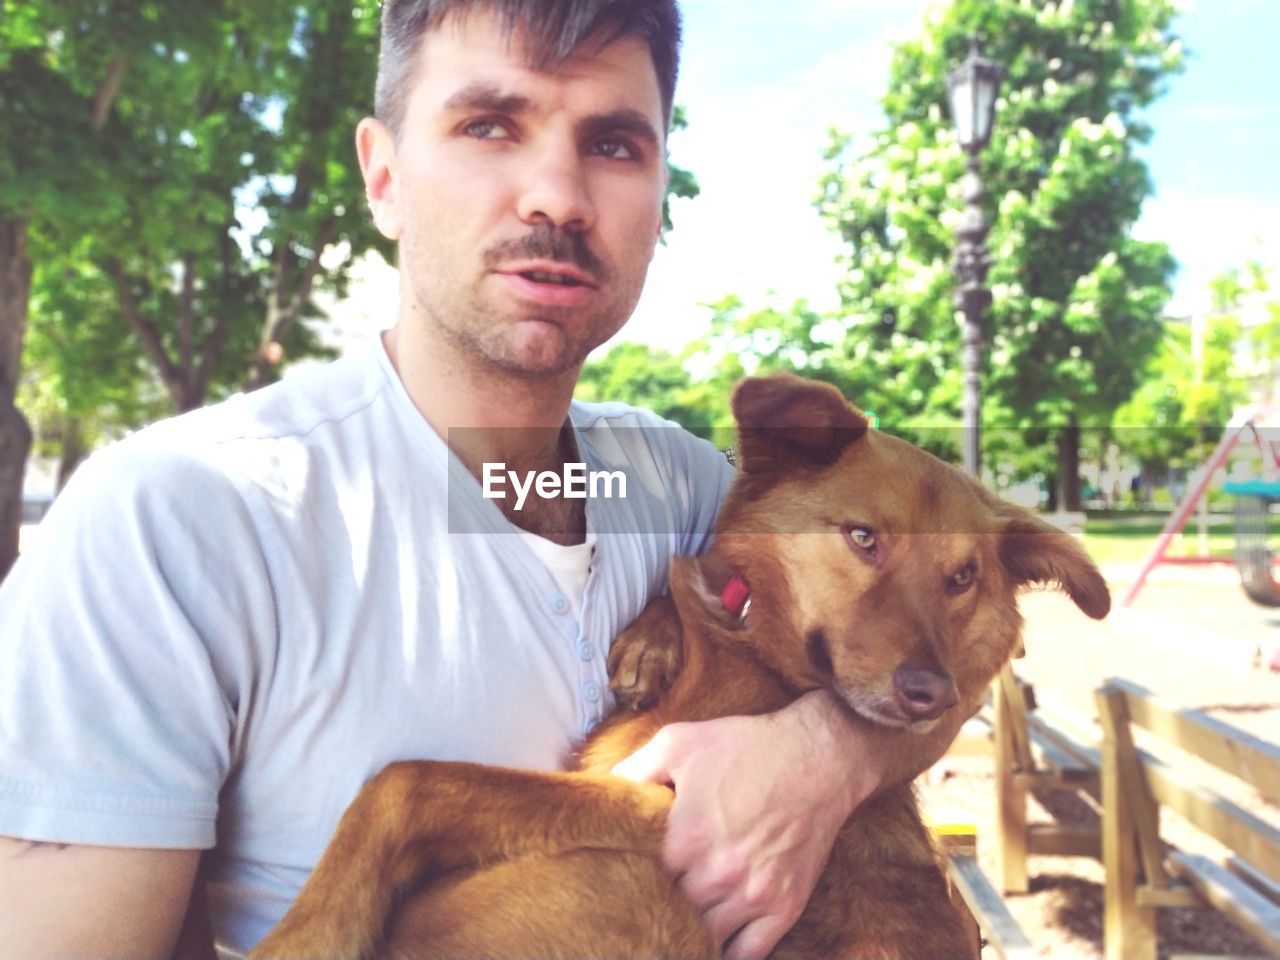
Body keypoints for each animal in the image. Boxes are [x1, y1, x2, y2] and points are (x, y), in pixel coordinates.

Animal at [252, 373, 1111, 960]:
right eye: (864, 538)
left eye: (962, 577)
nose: (934, 694)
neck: (752, 647)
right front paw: (649, 640)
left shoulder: (671, 808)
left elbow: (405, 782)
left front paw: (302, 935)